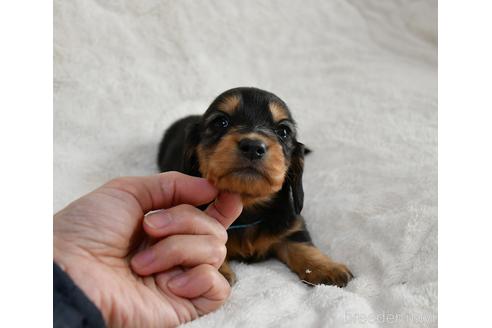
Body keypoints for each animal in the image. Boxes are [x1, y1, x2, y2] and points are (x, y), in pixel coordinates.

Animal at [158, 86, 354, 288]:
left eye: (283, 131)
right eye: (221, 122)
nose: (253, 146)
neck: (248, 208)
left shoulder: (292, 224)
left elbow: (302, 244)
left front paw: (326, 267)